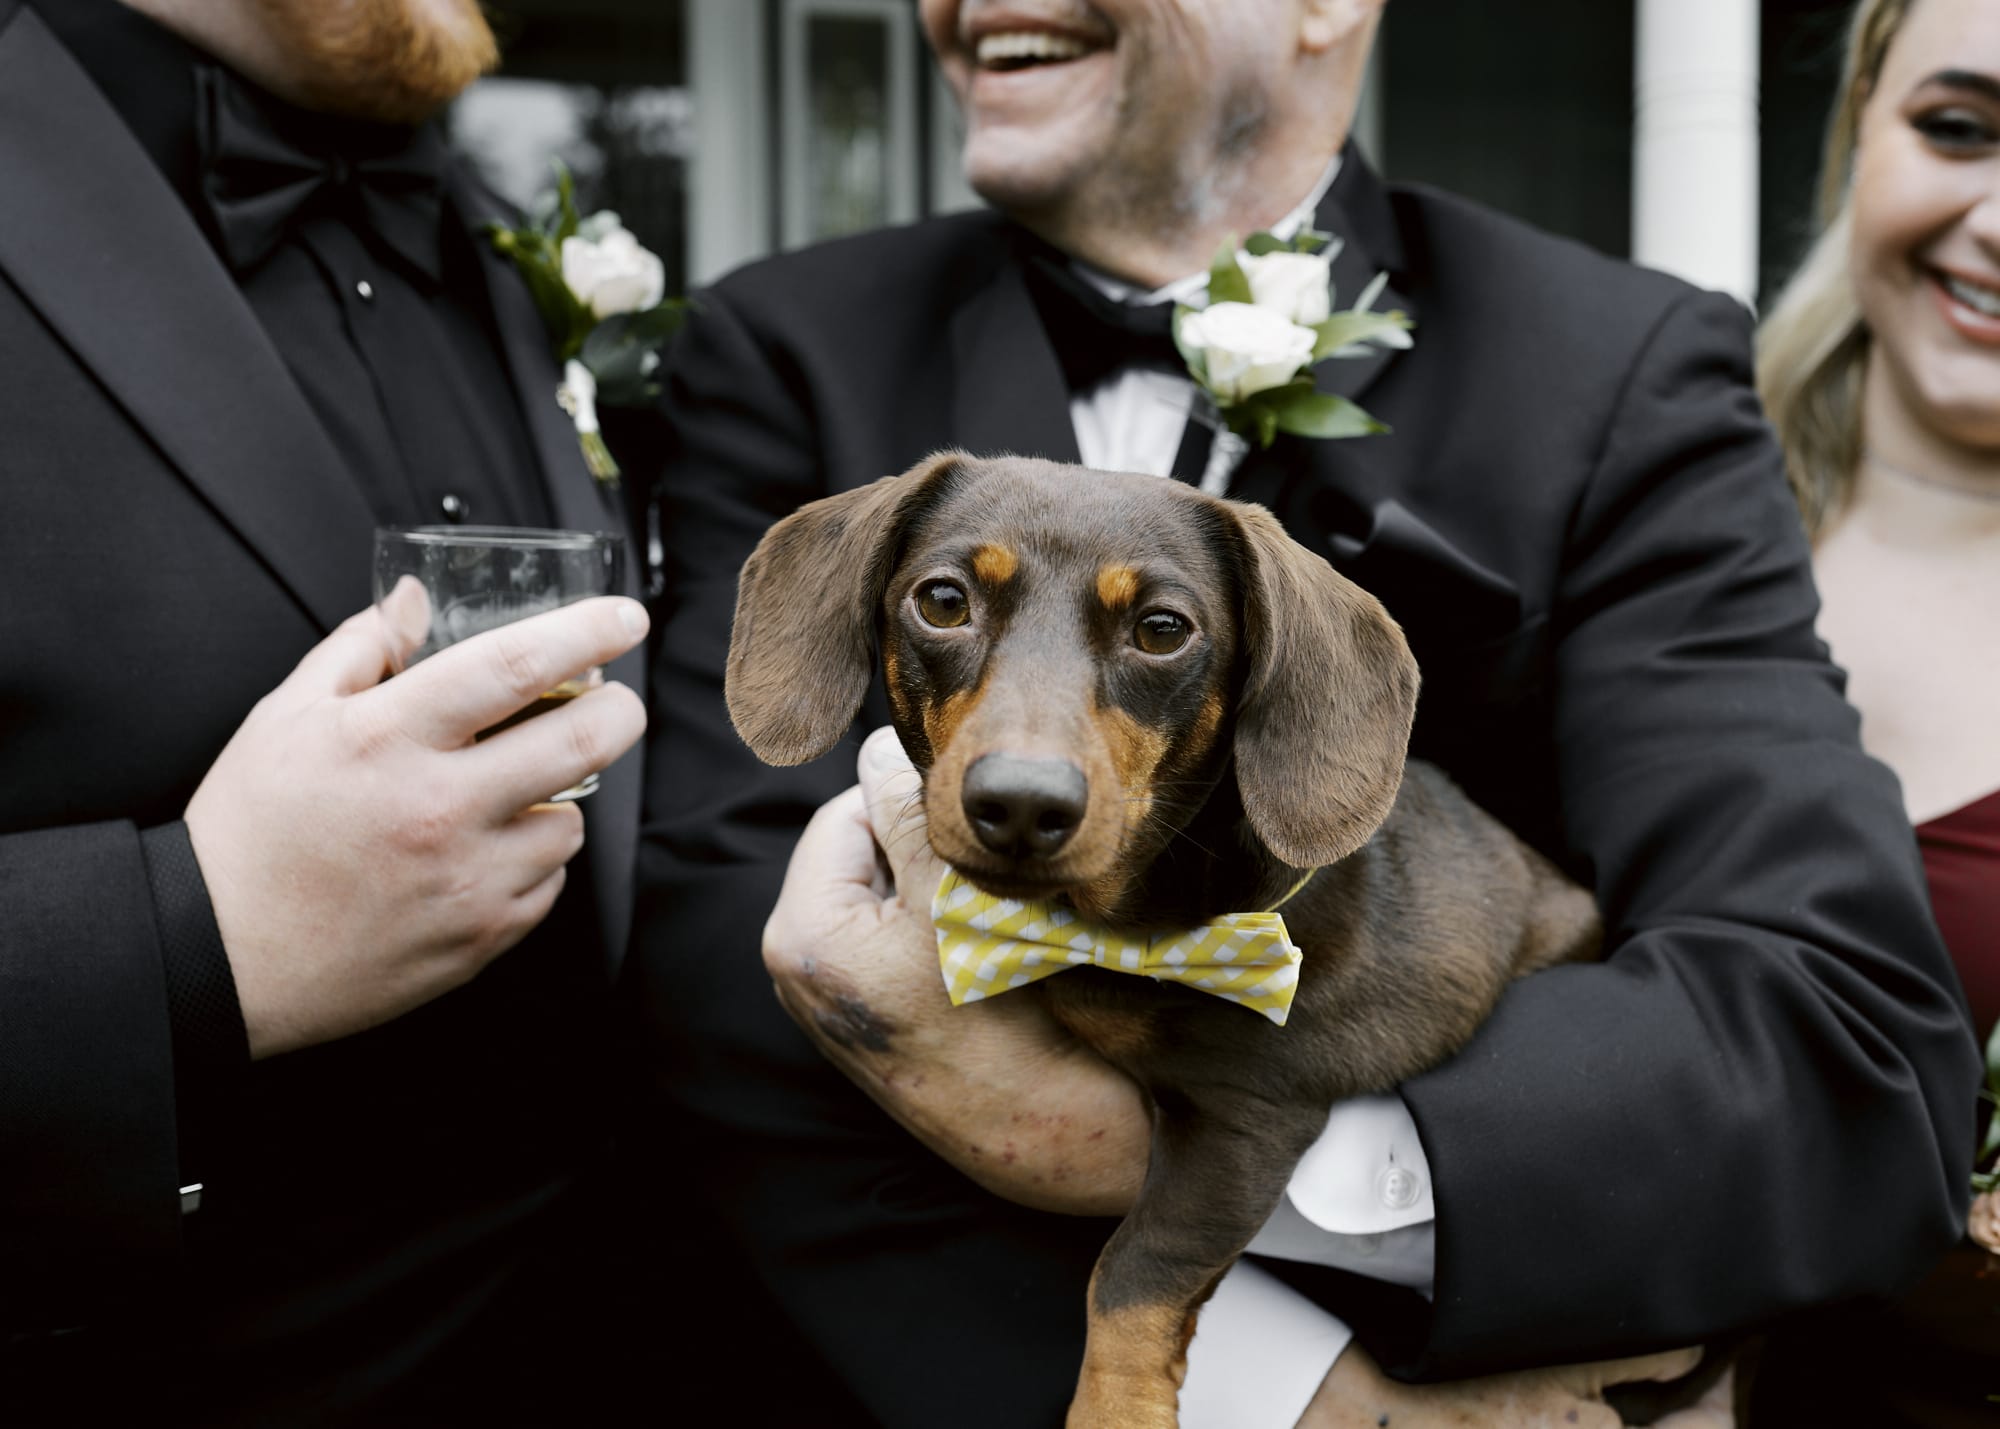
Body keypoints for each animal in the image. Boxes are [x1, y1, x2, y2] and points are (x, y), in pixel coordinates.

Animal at [728, 450, 1600, 1416]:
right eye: (944, 601)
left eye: (1161, 628)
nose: (1021, 803)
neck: (1108, 927)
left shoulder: (1248, 1113)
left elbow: (1136, 1269)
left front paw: (1116, 1408)